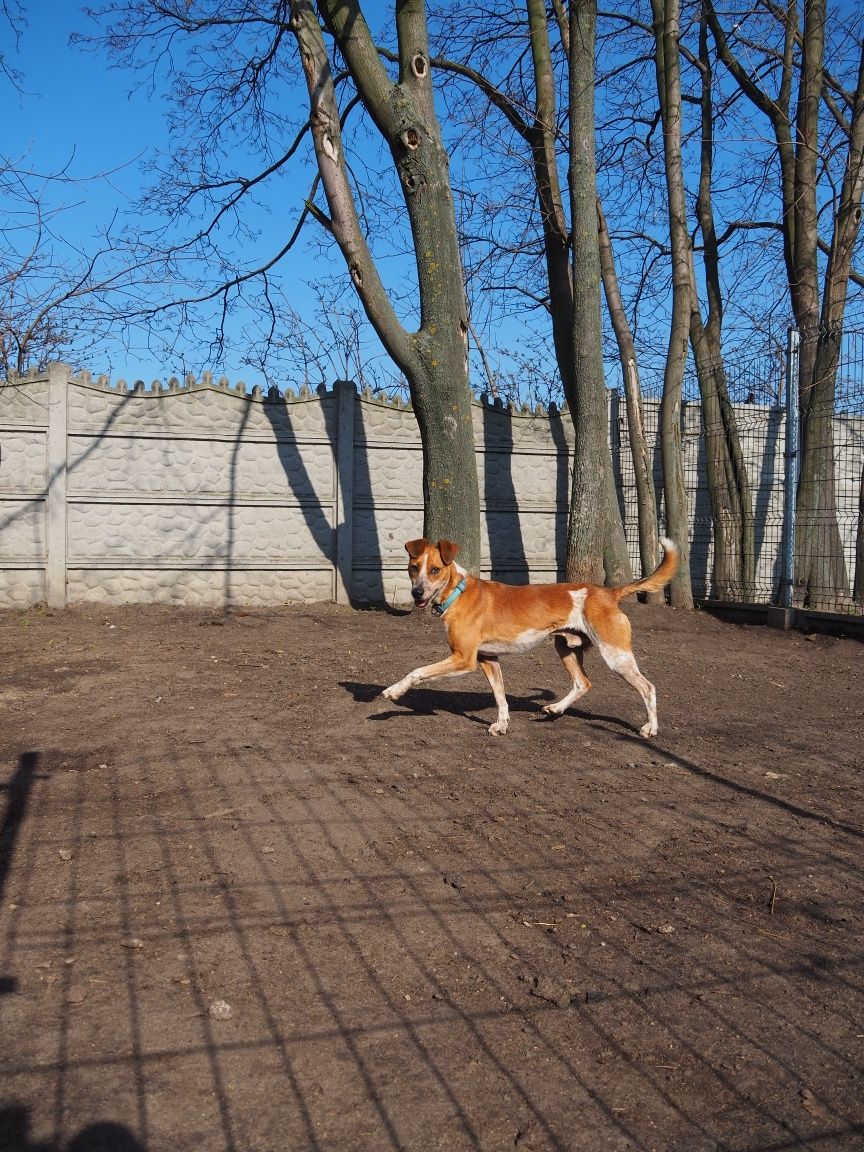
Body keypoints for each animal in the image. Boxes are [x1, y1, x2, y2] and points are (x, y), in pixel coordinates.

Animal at [382, 536, 681, 737]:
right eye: (413, 567)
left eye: (434, 570)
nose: (416, 593)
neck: (458, 592)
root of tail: (608, 593)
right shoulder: (489, 659)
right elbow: (500, 697)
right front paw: (502, 725)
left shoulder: (463, 659)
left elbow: (417, 671)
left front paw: (394, 692)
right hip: (566, 647)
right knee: (582, 683)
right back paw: (556, 709)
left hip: (615, 655)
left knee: (648, 687)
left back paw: (650, 728)